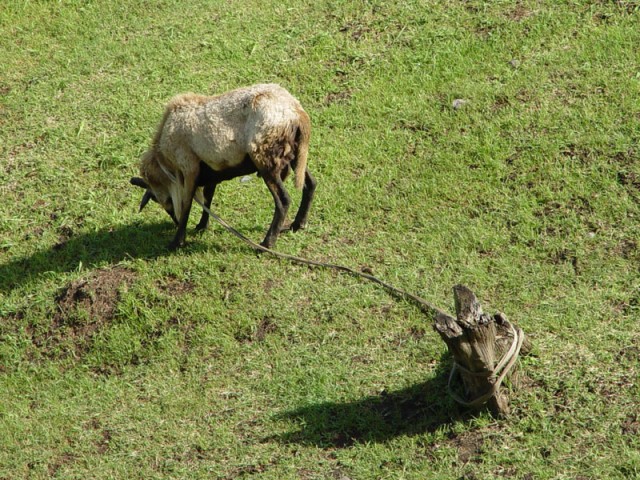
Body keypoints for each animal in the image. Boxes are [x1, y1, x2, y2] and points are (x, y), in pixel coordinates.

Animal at [130, 84, 316, 250]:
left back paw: (266, 244)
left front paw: (177, 242)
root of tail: (298, 114)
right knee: (310, 184)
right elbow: (208, 197)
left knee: (283, 200)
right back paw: (297, 224)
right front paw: (201, 226)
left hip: (265, 158)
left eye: (160, 199)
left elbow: (187, 203)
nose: (174, 223)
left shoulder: (188, 167)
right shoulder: (211, 170)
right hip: (295, 155)